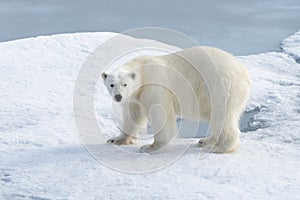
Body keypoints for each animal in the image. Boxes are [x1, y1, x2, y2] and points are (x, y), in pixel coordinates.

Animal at [102, 46, 252, 153]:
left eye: (125, 84)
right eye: (112, 84)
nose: (118, 96)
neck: (143, 73)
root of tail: (244, 73)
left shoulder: (154, 86)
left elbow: (160, 114)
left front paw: (151, 147)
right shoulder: (135, 97)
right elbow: (133, 116)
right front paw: (117, 139)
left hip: (219, 87)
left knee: (221, 116)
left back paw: (217, 147)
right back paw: (206, 141)